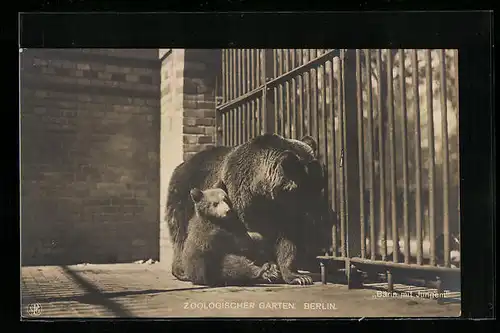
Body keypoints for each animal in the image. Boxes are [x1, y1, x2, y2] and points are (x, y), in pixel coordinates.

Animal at [166, 134, 330, 284]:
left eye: (320, 184)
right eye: (307, 189)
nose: (321, 214)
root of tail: (182, 164)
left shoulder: (282, 213)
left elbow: (288, 241)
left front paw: (298, 276)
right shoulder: (241, 201)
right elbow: (244, 241)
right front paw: (267, 269)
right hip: (184, 196)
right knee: (181, 232)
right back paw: (181, 270)